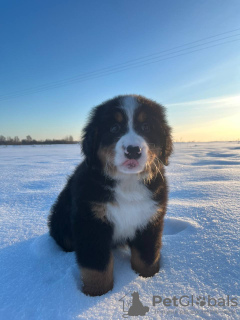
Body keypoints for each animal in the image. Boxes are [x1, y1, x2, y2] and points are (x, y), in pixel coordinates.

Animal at [48, 94, 172, 296]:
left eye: (146, 127)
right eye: (114, 128)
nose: (133, 150)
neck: (127, 183)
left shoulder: (150, 218)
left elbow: (146, 257)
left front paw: (148, 280)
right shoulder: (90, 223)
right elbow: (97, 268)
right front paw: (96, 296)